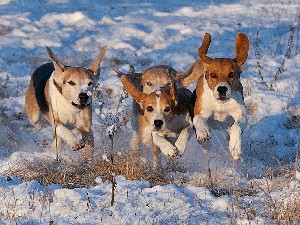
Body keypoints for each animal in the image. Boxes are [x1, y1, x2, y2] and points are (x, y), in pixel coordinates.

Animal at [189, 32, 250, 161]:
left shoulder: (241, 114)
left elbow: (237, 126)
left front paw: (235, 147)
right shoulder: (201, 112)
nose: (222, 89)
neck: (221, 104)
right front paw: (203, 133)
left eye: (231, 74)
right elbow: (198, 120)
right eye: (213, 75)